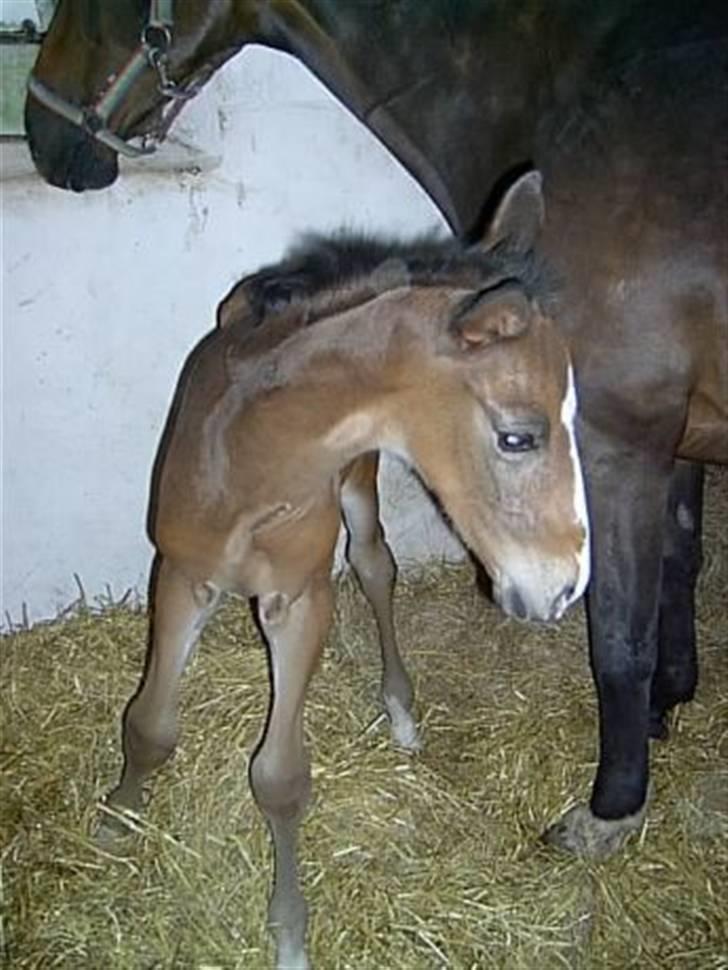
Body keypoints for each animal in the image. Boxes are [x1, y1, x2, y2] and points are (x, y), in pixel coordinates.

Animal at [25, 3, 724, 860]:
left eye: (98, 8)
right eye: (518, 437)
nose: (46, 137)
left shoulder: (623, 430)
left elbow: (621, 633)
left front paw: (609, 807)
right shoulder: (673, 432)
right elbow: (678, 563)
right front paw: (667, 704)